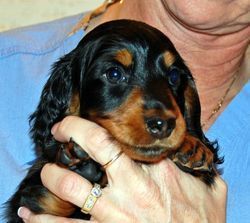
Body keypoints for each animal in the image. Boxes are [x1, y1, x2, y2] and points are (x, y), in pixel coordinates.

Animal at [3, 20, 222, 222]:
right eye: (114, 73)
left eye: (174, 76)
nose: (163, 125)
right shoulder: (38, 201)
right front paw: (80, 164)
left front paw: (191, 145)